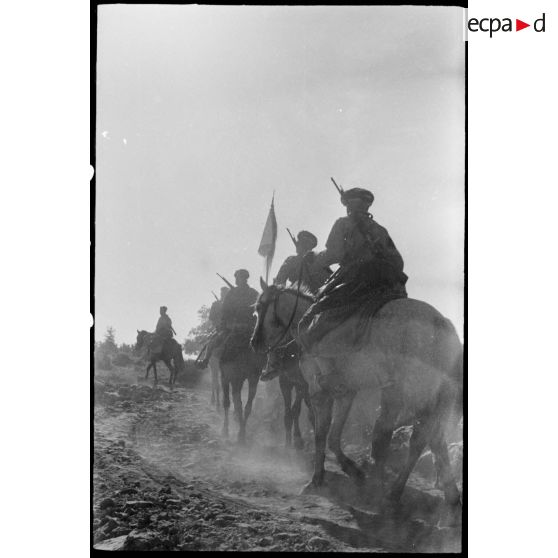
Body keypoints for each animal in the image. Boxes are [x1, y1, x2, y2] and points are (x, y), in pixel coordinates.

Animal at [252, 282, 466, 510]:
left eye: (260, 307)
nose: (254, 342)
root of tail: (442, 324)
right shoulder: (346, 392)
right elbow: (333, 436)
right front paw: (353, 470)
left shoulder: (319, 393)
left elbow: (321, 434)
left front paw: (317, 479)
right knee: (432, 438)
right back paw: (447, 493)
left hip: (417, 392)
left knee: (419, 439)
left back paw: (394, 492)